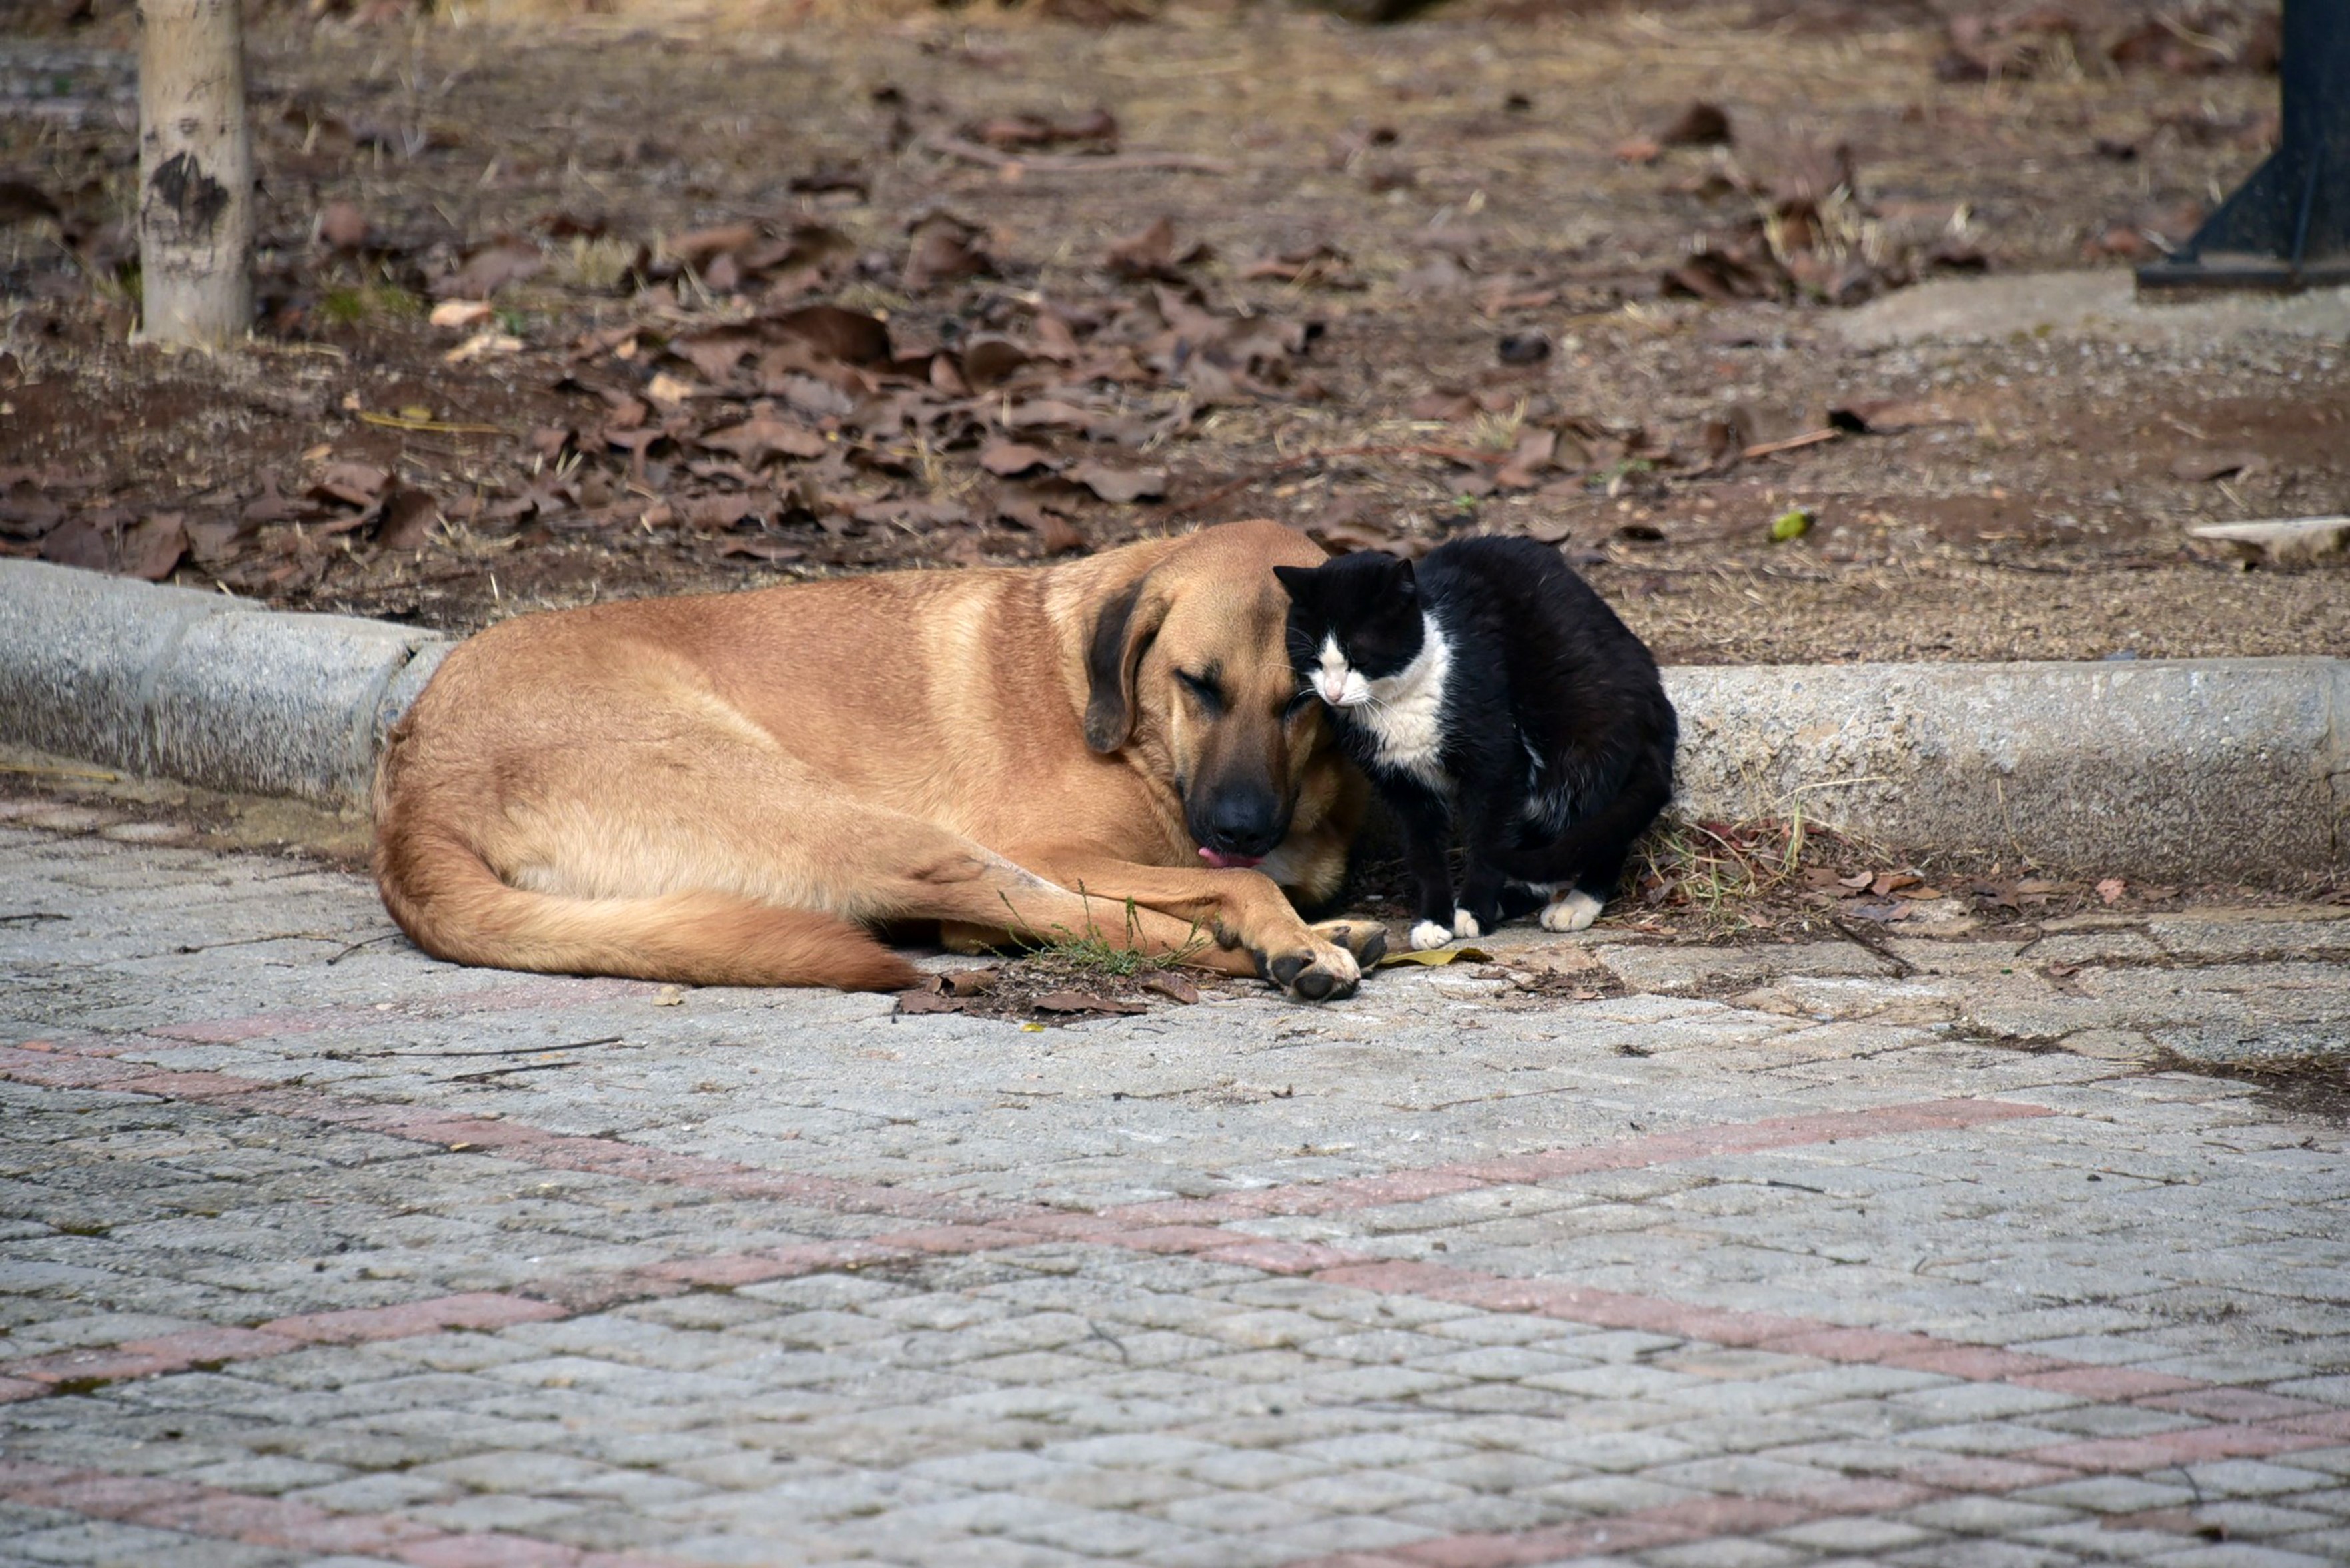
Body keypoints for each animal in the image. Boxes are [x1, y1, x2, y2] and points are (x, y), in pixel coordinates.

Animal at [376, 522, 1381, 1001]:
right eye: (1197, 684)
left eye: (1304, 699)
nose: (1241, 826)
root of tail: (412, 788)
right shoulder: (1058, 849)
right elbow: (1220, 885)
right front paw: (1279, 928)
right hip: (873, 826)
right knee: (1069, 918)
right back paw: (1282, 946)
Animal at [1278, 540, 1682, 949]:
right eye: (1313, 660)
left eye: (1359, 658)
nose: (1333, 694)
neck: (1398, 702)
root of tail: (1660, 706)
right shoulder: (1405, 786)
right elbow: (1424, 852)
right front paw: (1434, 919)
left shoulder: (1497, 764)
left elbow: (1488, 842)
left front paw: (1473, 911)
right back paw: (1514, 898)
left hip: (1580, 742)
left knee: (1600, 829)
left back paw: (1577, 903)